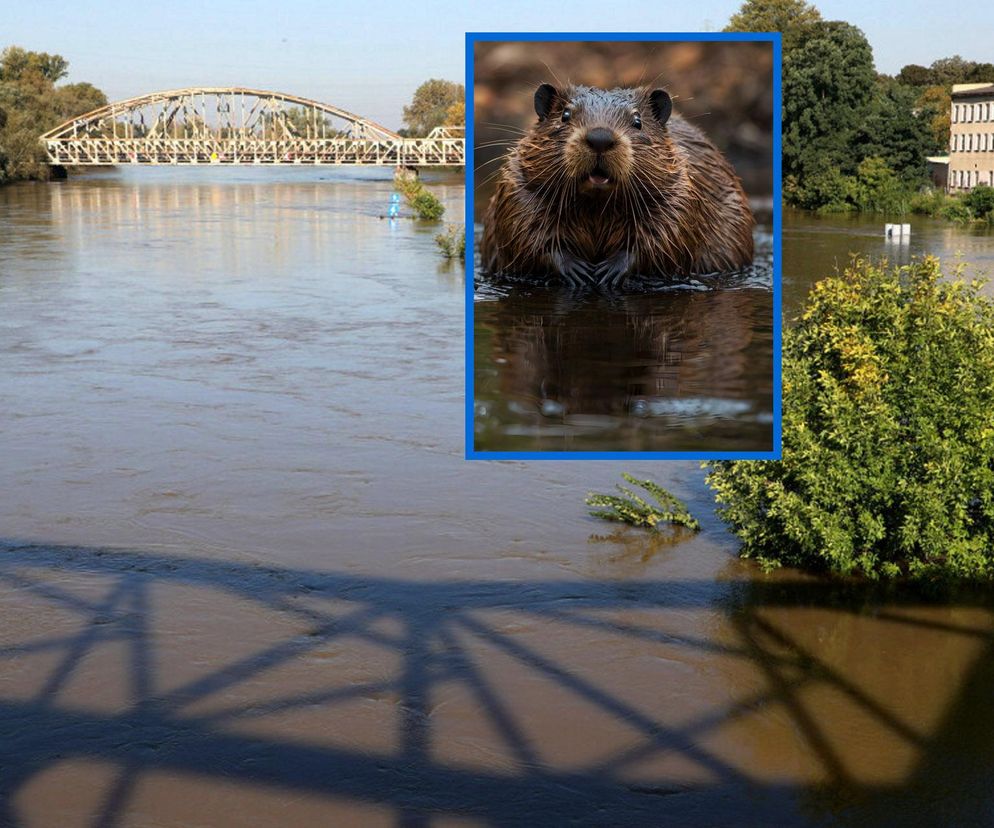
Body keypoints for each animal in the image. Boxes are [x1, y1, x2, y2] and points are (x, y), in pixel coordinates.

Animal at [480, 81, 752, 288]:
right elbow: (523, 233)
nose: (600, 138)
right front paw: (577, 270)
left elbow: (667, 236)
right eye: (565, 115)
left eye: (638, 121)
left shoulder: (681, 192)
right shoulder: (517, 188)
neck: (596, 208)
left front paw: (608, 270)